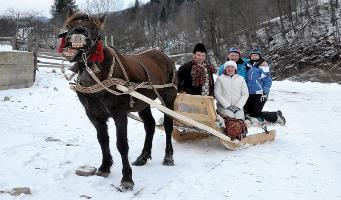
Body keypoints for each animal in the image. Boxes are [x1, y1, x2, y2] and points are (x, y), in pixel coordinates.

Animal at [59, 9, 178, 191]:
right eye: (70, 25)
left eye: (95, 29)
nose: (79, 32)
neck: (98, 77)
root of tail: (166, 57)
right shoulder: (94, 115)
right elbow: (103, 140)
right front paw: (104, 167)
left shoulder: (119, 114)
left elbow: (122, 144)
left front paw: (127, 178)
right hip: (143, 103)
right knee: (149, 125)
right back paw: (143, 157)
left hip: (168, 99)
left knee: (168, 125)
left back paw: (168, 157)